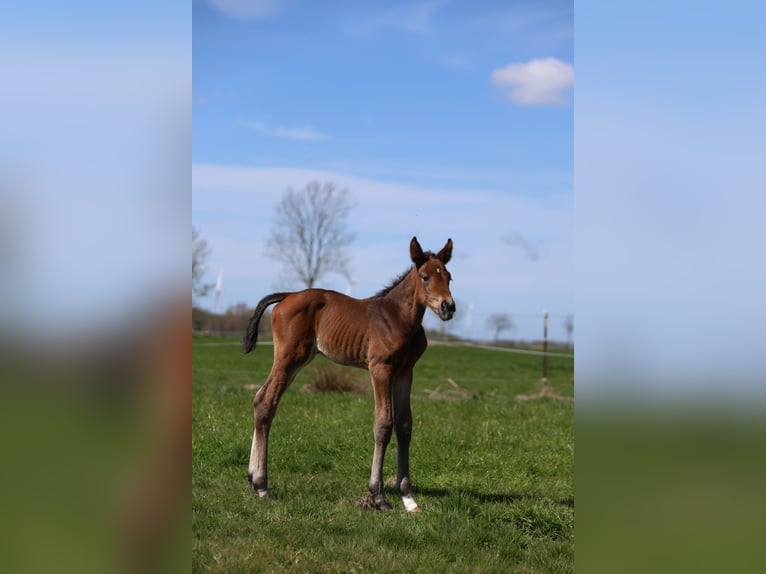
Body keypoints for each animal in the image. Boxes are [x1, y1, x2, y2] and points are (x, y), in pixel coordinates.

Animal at [243, 237, 455, 512]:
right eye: (426, 276)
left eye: (449, 277)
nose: (448, 306)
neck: (399, 317)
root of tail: (288, 296)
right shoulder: (380, 368)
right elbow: (383, 424)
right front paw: (378, 497)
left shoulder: (405, 372)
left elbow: (404, 426)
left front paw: (408, 498)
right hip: (289, 357)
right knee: (267, 403)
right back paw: (262, 486)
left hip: (298, 359)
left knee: (260, 398)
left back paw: (253, 479)